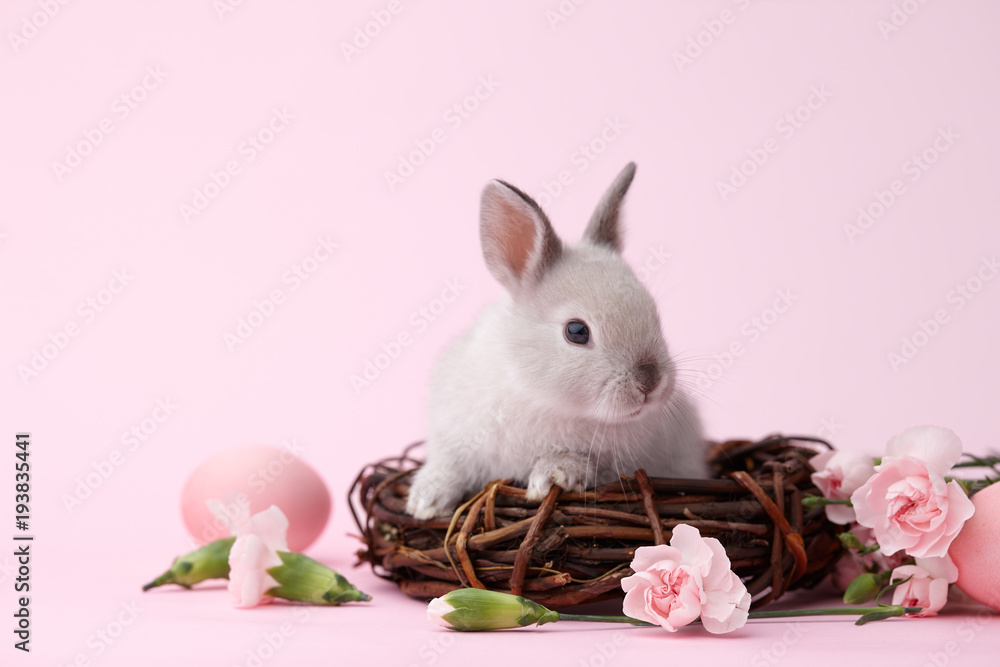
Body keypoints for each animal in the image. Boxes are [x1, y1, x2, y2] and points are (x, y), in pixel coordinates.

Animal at [405, 162, 706, 519]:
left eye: (654, 312)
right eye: (576, 331)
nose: (650, 382)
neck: (541, 397)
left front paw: (551, 476)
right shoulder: (453, 437)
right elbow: (449, 464)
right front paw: (425, 501)